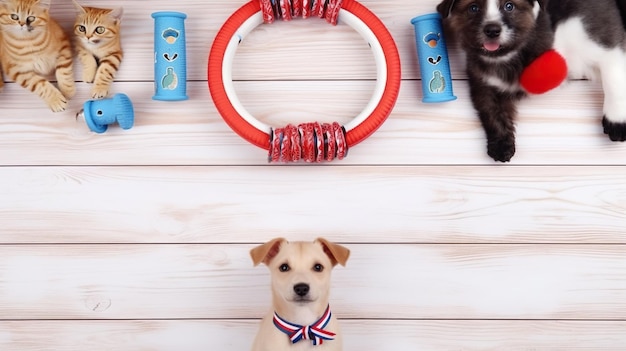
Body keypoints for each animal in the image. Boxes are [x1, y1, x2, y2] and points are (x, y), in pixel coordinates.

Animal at [436, 0, 624, 162]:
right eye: (473, 8)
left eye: (509, 6)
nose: (492, 30)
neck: (511, 56)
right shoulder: (483, 85)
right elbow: (492, 113)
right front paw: (501, 145)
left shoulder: (599, 42)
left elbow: (613, 76)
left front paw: (616, 120)